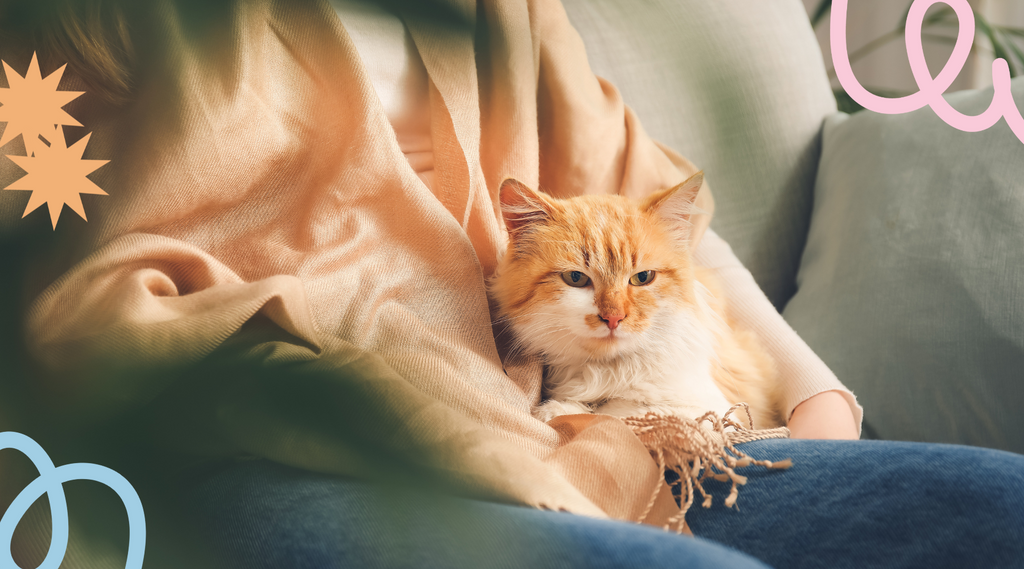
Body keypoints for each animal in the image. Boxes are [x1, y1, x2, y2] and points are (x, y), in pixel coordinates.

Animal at [487, 172, 782, 431]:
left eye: (642, 278)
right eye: (575, 278)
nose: (613, 318)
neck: (609, 370)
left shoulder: (709, 411)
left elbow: (620, 412)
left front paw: (562, 410)